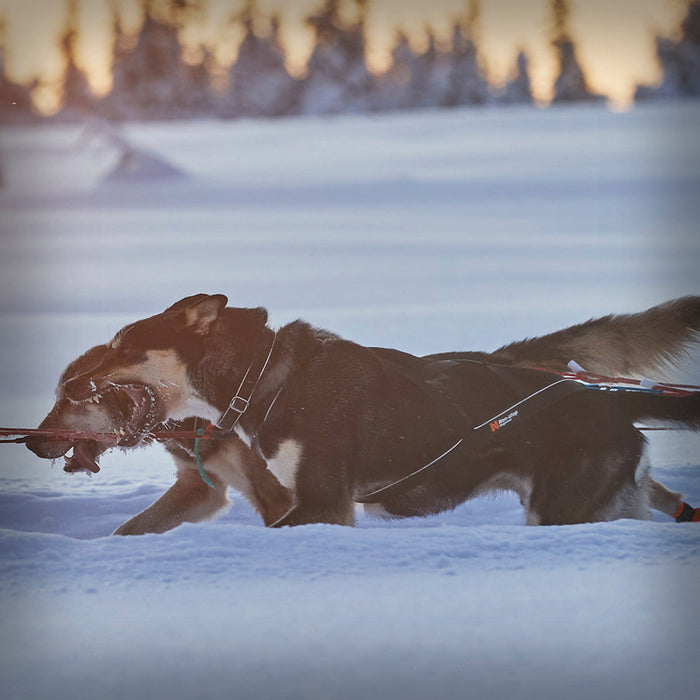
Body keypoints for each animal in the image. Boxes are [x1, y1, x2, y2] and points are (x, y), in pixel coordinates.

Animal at [27, 292, 700, 532]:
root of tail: (610, 400)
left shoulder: (322, 503)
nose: (79, 377)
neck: (263, 380)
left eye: (123, 346)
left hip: (562, 510)